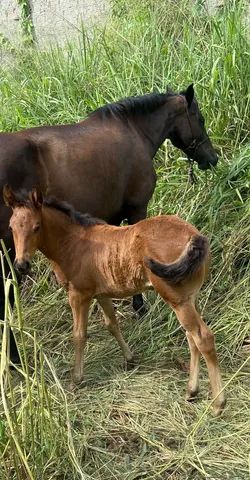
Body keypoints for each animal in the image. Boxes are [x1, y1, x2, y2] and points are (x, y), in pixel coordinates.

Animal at [3, 186, 227, 414]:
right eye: (12, 227)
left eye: (36, 227)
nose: (21, 265)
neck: (73, 243)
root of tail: (195, 236)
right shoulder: (101, 294)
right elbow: (112, 324)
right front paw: (129, 359)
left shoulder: (79, 295)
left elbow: (79, 335)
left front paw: (76, 379)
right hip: (190, 298)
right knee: (192, 338)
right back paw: (191, 391)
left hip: (177, 299)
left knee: (202, 337)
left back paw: (218, 404)